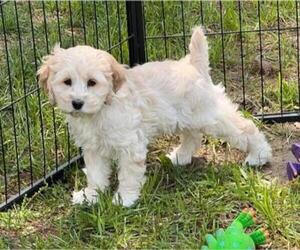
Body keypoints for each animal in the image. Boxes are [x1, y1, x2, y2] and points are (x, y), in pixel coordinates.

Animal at [37, 26, 272, 207]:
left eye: (92, 83)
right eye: (67, 82)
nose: (77, 103)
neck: (101, 109)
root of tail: (193, 65)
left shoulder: (130, 146)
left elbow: (128, 175)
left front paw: (124, 199)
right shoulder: (93, 148)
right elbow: (96, 174)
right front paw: (91, 196)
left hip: (209, 115)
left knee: (244, 128)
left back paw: (259, 155)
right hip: (185, 117)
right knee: (193, 136)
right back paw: (180, 157)